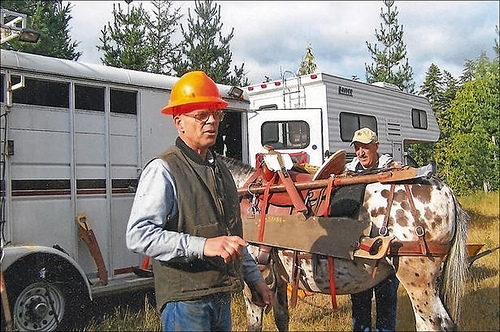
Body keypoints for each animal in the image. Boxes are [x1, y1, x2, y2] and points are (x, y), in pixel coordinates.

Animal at [221, 154, 470, 332]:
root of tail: (446, 191)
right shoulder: (279, 280)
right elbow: (282, 318)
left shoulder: (254, 280)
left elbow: (255, 324)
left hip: (417, 279)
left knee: (433, 323)